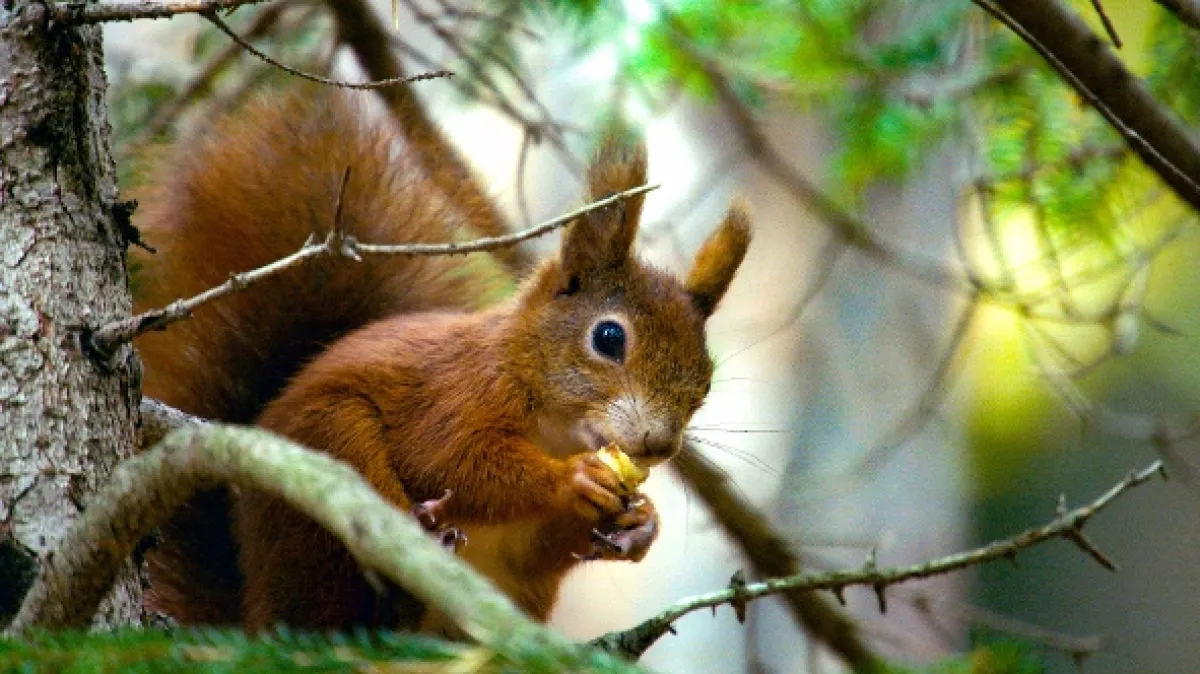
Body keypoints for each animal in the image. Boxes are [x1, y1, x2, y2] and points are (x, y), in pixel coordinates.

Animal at [132, 87, 750, 632]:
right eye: (609, 338)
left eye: (706, 380)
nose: (659, 446)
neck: (554, 425)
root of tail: (256, 614)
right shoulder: (454, 394)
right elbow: (453, 460)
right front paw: (571, 479)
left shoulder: (527, 550)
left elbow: (549, 546)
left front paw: (640, 525)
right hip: (327, 452)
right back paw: (420, 537)